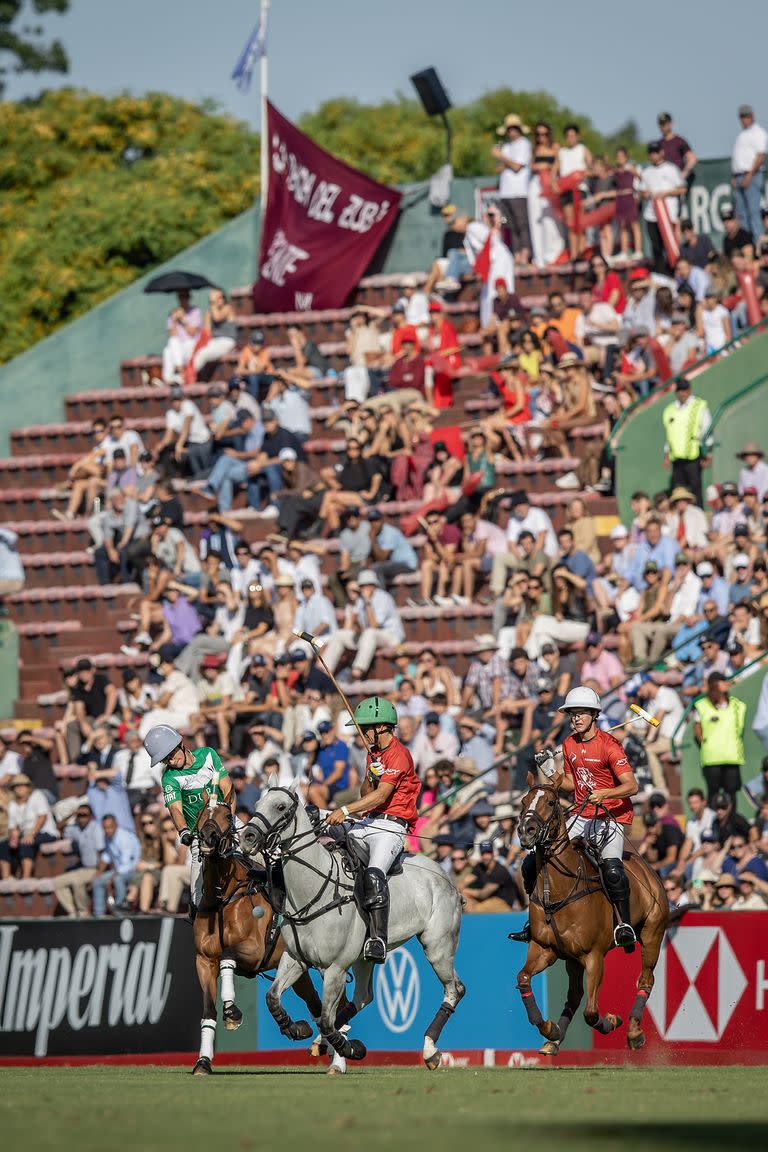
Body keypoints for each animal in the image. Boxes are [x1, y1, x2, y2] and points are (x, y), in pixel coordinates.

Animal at [192, 806, 331, 1073]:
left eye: (227, 815)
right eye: (202, 813)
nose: (208, 838)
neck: (223, 898)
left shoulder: (255, 952)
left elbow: (227, 956)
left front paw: (231, 1010)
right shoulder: (204, 960)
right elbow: (206, 1012)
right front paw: (203, 1062)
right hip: (299, 969)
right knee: (316, 1006)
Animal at [242, 783, 465, 1069]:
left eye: (280, 807)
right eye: (258, 804)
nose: (247, 837)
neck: (314, 891)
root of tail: (445, 877)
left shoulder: (335, 968)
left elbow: (327, 1020)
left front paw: (350, 1049)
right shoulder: (295, 958)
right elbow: (272, 998)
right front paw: (297, 1029)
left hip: (438, 945)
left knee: (453, 989)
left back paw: (429, 1050)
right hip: (363, 958)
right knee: (363, 996)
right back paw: (320, 1041)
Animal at [513, 783, 667, 1055]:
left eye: (551, 802)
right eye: (523, 801)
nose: (525, 831)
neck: (560, 889)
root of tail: (645, 866)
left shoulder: (594, 956)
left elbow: (591, 1012)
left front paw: (613, 1021)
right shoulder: (543, 948)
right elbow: (523, 978)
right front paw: (549, 1028)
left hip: (652, 933)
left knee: (646, 979)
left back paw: (634, 1032)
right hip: (571, 959)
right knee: (574, 995)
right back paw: (554, 1039)